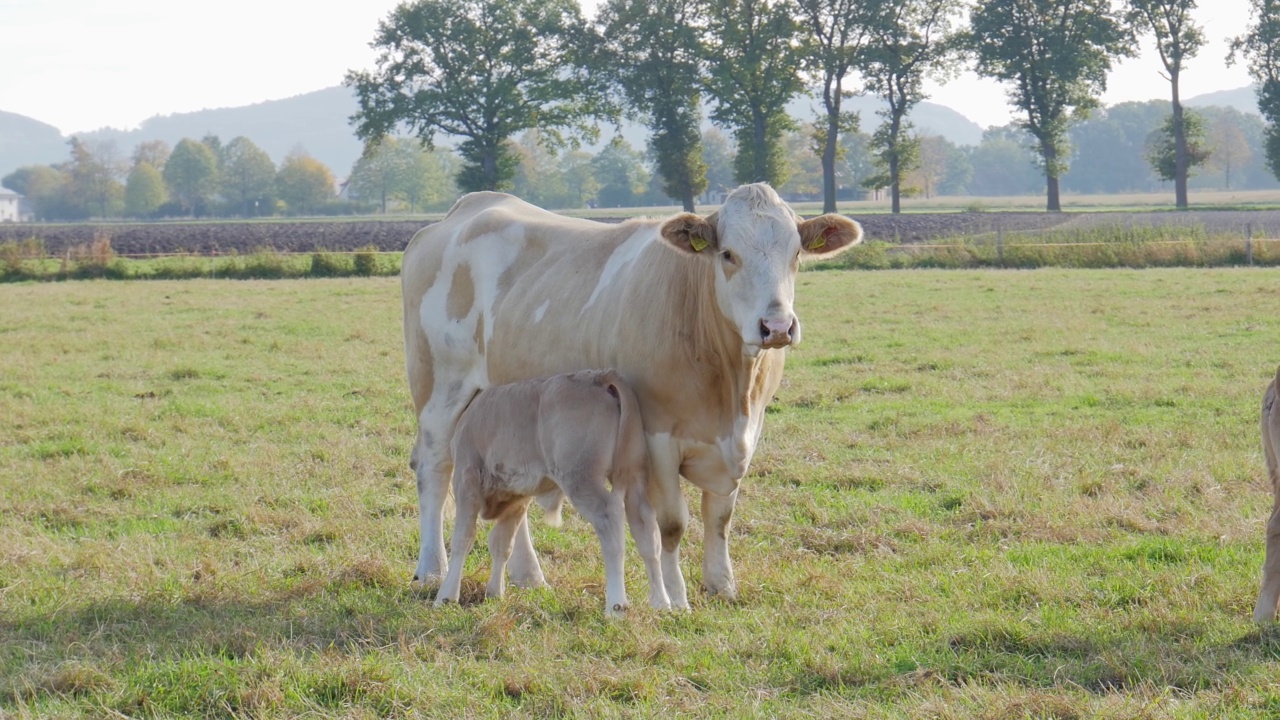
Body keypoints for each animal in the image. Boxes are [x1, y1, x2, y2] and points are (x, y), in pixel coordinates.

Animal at [435, 368, 670, 609]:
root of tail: (599, 376)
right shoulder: (517, 496)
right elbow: (502, 544)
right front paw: (495, 593)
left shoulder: (466, 478)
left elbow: (463, 538)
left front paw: (446, 596)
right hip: (634, 472)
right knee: (646, 527)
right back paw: (662, 602)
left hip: (581, 478)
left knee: (610, 517)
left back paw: (617, 604)